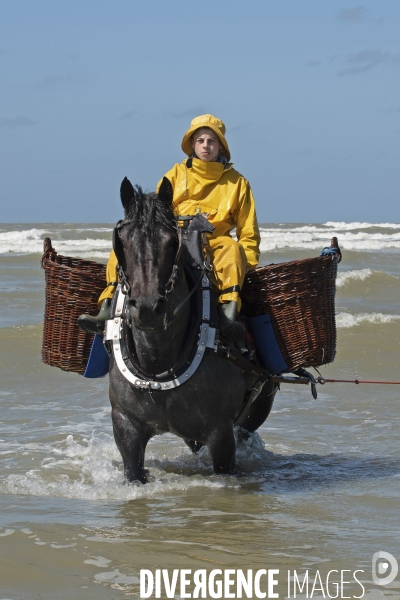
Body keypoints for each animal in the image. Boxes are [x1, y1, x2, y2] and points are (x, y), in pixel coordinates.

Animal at [109, 177, 278, 482]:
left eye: (170, 241)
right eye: (123, 242)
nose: (147, 307)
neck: (158, 365)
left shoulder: (221, 433)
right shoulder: (125, 426)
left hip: (257, 407)